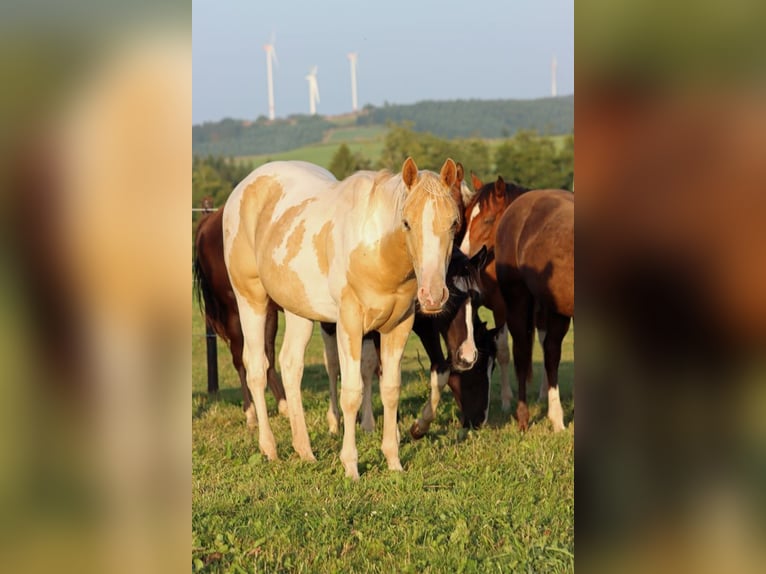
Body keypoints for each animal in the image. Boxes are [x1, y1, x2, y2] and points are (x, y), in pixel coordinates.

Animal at [222, 157, 460, 479]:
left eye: (454, 223)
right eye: (407, 223)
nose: (433, 296)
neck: (375, 250)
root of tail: (245, 186)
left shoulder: (399, 326)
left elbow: (390, 390)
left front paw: (393, 461)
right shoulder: (350, 323)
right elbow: (351, 394)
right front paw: (351, 466)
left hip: (299, 310)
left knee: (291, 365)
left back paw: (305, 450)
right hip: (251, 299)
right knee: (257, 368)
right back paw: (269, 448)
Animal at [495, 189, 574, 431]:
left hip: (557, 308)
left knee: (551, 352)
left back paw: (557, 420)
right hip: (517, 301)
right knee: (521, 355)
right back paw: (523, 418)